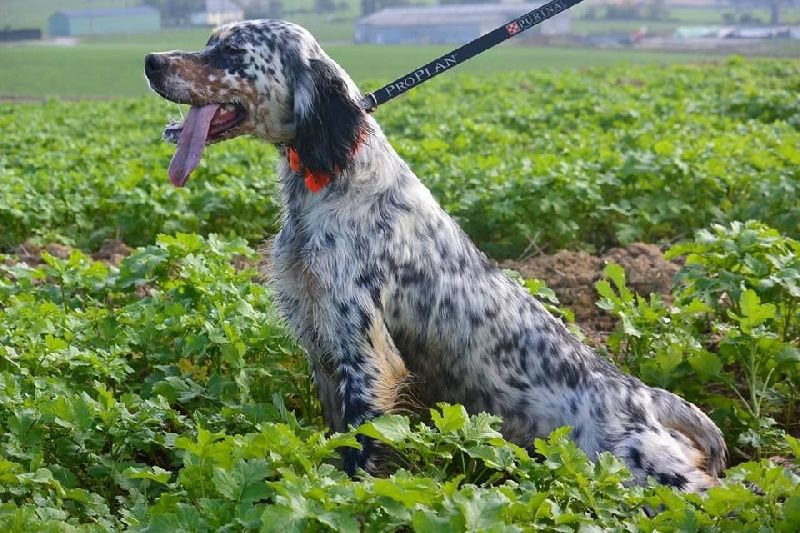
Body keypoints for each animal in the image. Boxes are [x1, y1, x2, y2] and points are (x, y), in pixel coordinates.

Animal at [144, 19, 724, 490]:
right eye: (209, 41)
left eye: (231, 51)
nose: (150, 61)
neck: (336, 176)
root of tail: (645, 395)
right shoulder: (322, 343)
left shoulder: (366, 353)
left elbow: (361, 449)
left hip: (642, 468)